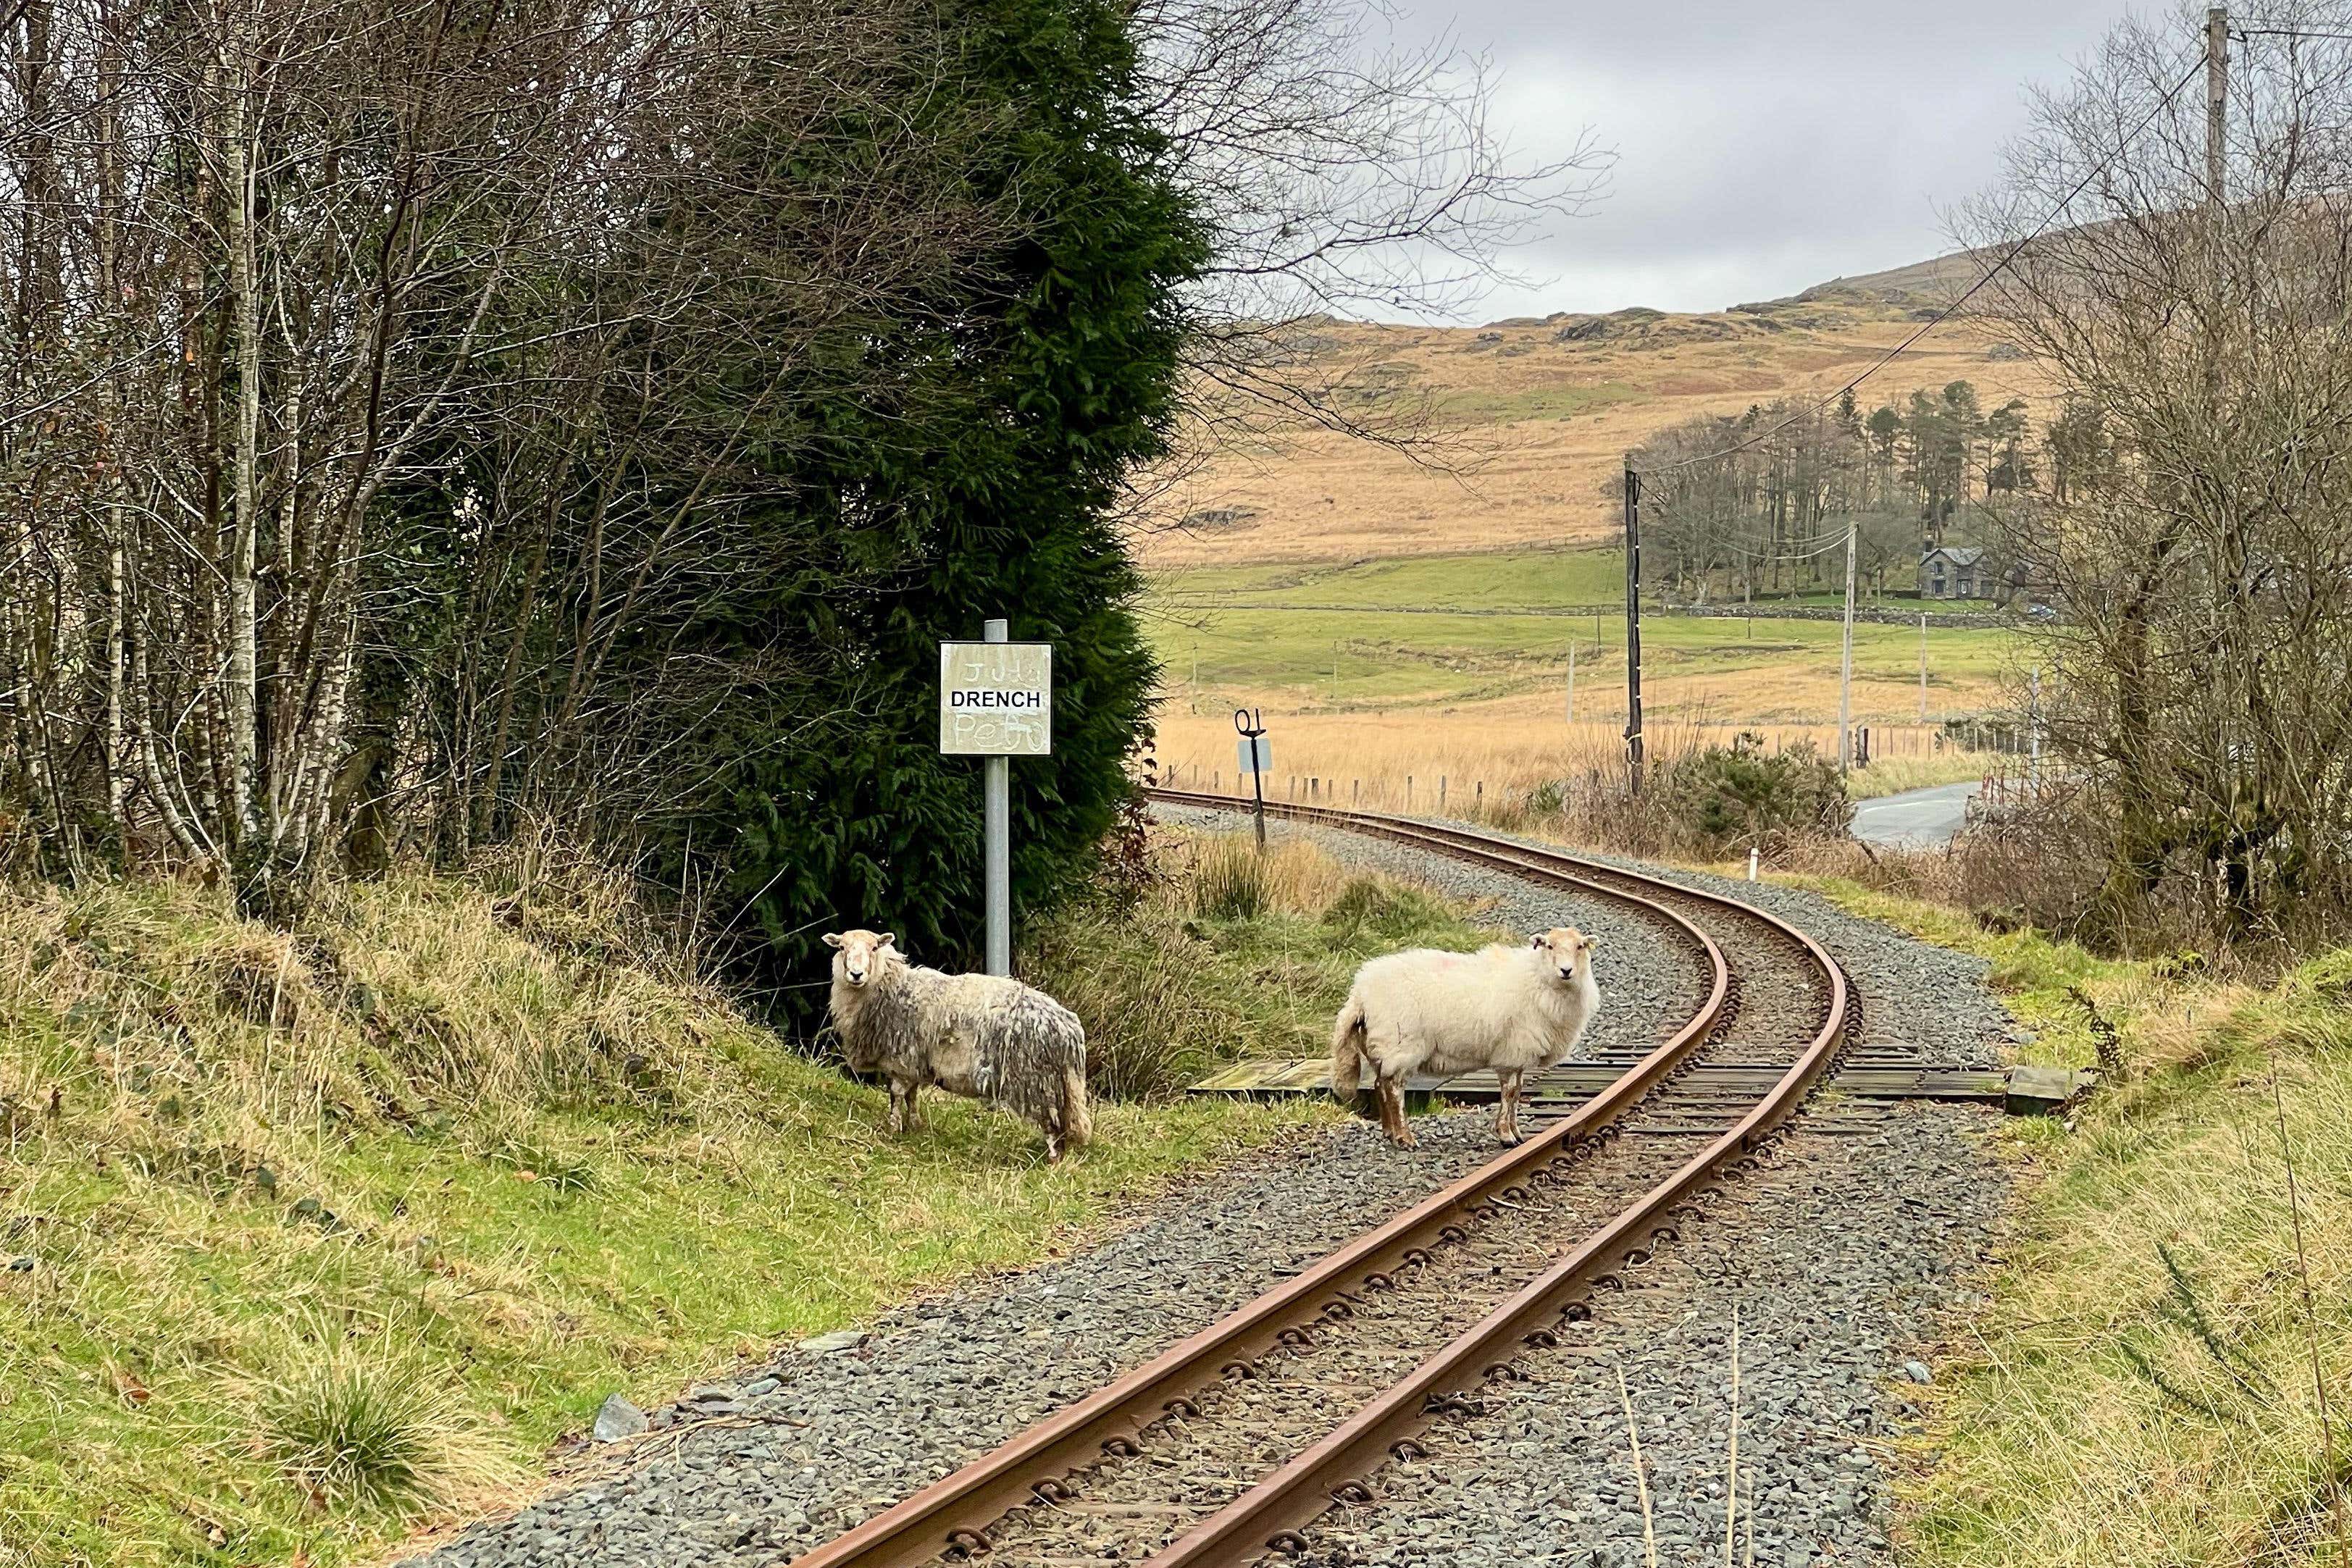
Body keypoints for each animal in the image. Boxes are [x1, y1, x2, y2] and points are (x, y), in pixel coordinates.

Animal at [827, 931, 1091, 1165]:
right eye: (841, 948)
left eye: (874, 948)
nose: (856, 974)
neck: (892, 987)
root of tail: (1070, 1029)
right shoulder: (915, 1063)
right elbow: (912, 1096)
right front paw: (915, 1126)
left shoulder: (902, 1059)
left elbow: (897, 1094)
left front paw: (892, 1128)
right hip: (1059, 1086)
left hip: (1037, 1082)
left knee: (1051, 1125)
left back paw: (1052, 1161)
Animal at [1326, 926, 1599, 1146]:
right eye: (1550, 946)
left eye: (1580, 946)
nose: (1566, 970)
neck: (1538, 978)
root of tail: (1361, 991)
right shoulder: (1513, 1051)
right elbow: (1510, 1093)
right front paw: (1506, 1135)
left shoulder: (1518, 1054)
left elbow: (1518, 1092)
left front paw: (1517, 1133)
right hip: (1400, 1044)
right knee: (1394, 1088)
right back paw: (1405, 1137)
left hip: (1381, 1046)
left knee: (1379, 1085)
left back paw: (1390, 1133)